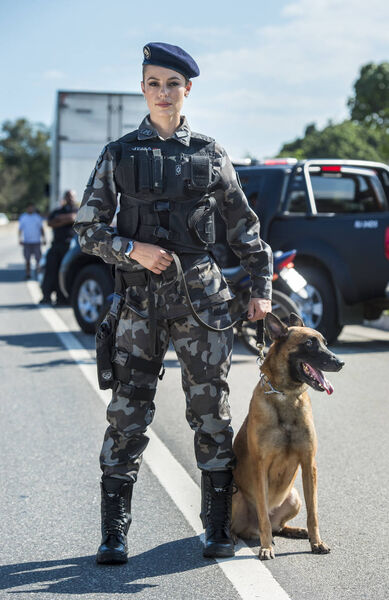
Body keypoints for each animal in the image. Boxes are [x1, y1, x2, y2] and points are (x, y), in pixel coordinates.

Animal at [230, 312, 342, 560]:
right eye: (309, 343)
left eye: (325, 343)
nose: (340, 362)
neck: (287, 396)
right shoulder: (260, 467)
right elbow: (263, 513)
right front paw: (265, 548)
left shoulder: (309, 464)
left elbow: (313, 513)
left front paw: (316, 542)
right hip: (236, 496)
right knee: (248, 526)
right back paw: (234, 538)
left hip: (294, 497)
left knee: (277, 527)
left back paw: (295, 531)